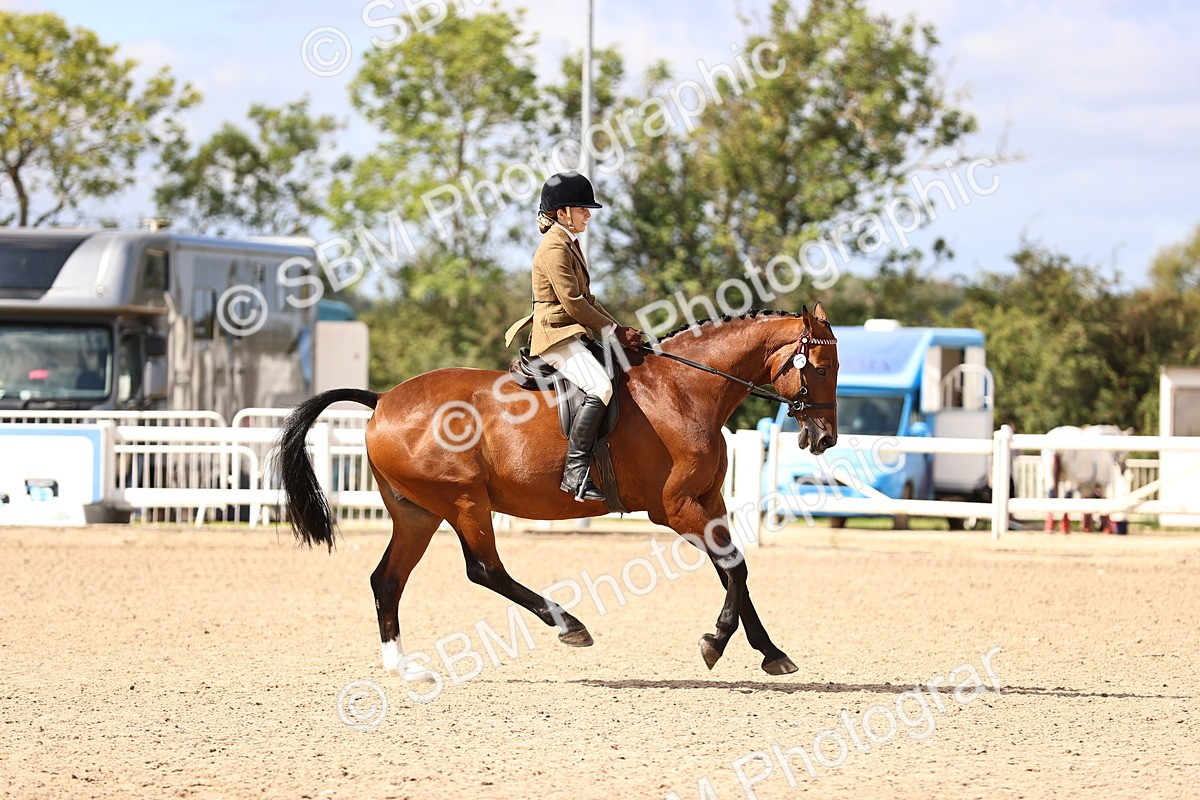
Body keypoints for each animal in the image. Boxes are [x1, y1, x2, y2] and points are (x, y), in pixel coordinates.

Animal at [273, 304, 839, 679]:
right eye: (821, 368)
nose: (824, 438)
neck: (684, 391)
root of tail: (383, 399)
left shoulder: (709, 503)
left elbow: (735, 571)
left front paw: (769, 652)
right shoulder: (675, 509)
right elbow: (734, 568)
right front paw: (715, 643)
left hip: (418, 513)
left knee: (387, 580)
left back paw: (402, 667)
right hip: (464, 502)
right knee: (484, 570)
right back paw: (570, 624)